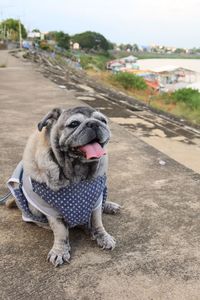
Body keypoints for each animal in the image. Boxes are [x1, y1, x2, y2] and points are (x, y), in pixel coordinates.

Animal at [19, 106, 120, 266]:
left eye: (103, 121)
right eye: (74, 124)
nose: (94, 123)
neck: (78, 171)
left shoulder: (95, 201)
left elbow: (97, 221)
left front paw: (103, 236)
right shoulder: (51, 210)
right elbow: (60, 231)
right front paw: (60, 250)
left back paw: (109, 207)